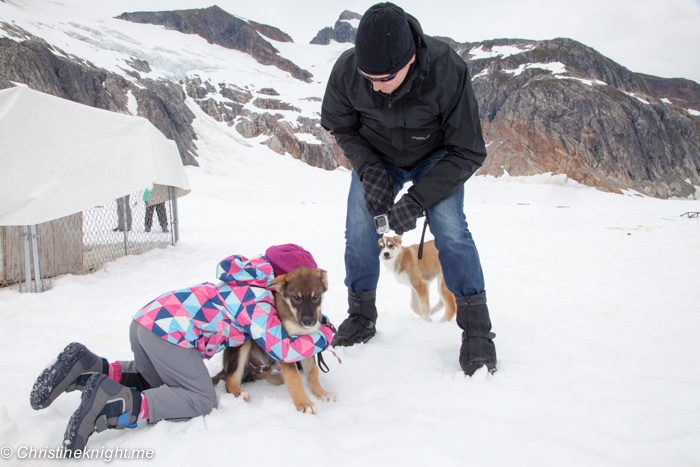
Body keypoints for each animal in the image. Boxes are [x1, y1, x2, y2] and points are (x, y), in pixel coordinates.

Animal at [212, 268, 334, 414]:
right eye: (296, 297)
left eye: (316, 296)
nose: (308, 321)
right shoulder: (286, 349)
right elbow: (294, 378)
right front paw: (304, 403)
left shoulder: (306, 343)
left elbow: (313, 372)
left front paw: (322, 393)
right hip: (242, 342)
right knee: (230, 381)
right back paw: (239, 392)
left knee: (252, 375)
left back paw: (277, 377)